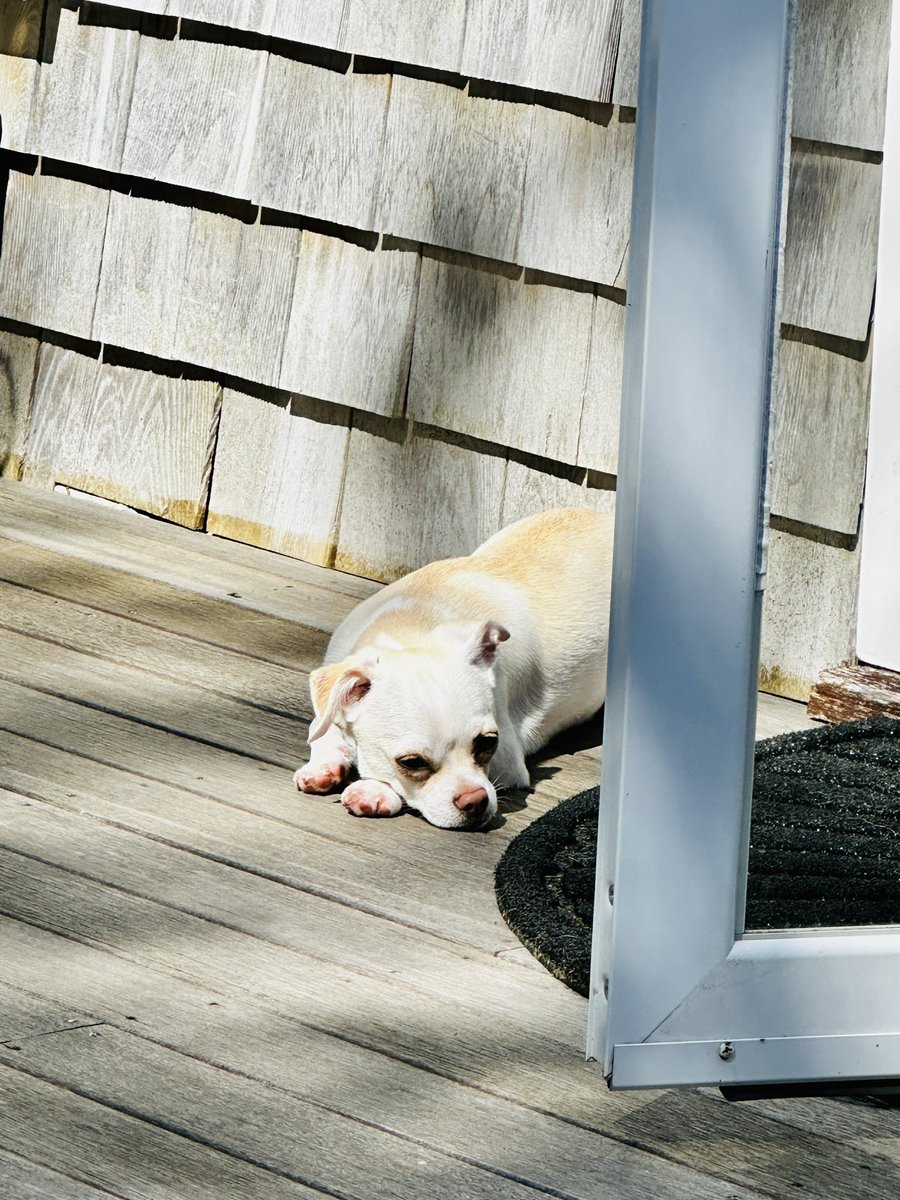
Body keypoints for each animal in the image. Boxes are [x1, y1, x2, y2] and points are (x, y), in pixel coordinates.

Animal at [292, 504, 619, 825]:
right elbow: (321, 727)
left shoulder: (508, 759)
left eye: (489, 744)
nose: (475, 800)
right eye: (412, 762)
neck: (412, 627)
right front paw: (326, 762)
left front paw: (372, 790)